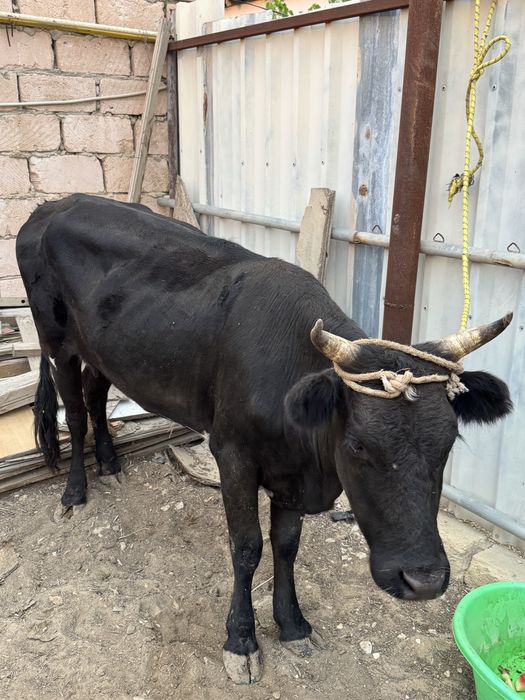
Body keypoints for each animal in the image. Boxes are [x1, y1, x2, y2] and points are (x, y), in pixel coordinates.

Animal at [16, 194, 512, 684]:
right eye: (357, 445)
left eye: (449, 442)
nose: (424, 581)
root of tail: (53, 206)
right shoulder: (232, 455)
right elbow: (247, 546)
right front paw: (241, 641)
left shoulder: (291, 474)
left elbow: (286, 545)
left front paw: (292, 624)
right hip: (54, 338)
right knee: (75, 412)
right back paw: (75, 493)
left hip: (103, 349)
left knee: (96, 392)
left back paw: (110, 464)